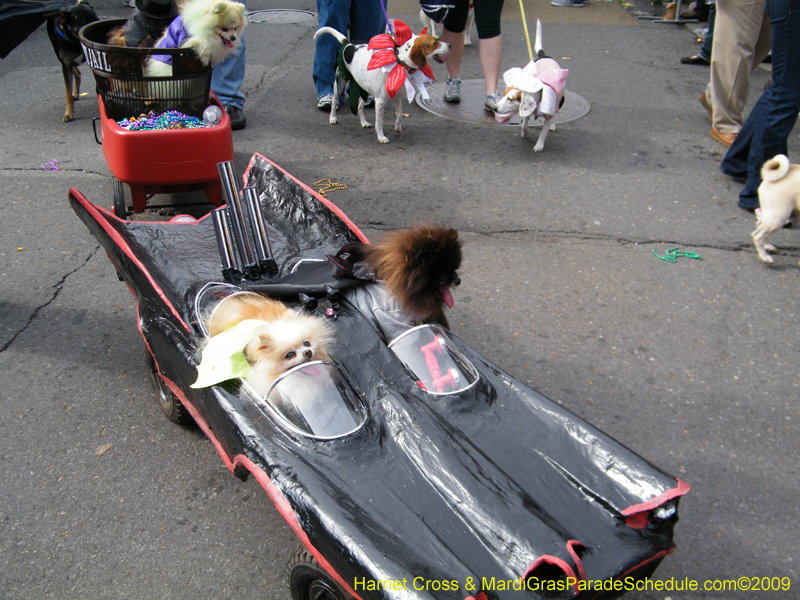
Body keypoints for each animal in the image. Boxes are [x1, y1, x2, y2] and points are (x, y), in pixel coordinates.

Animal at [314, 19, 450, 144]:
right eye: (435, 42)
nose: (450, 45)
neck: (400, 63)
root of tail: (348, 43)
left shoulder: (396, 97)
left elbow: (400, 113)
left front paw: (397, 127)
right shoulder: (379, 101)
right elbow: (379, 122)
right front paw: (381, 137)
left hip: (365, 88)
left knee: (359, 106)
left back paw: (364, 122)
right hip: (340, 82)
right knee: (334, 101)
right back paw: (332, 117)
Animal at [490, 20, 564, 154]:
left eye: (510, 99)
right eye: (503, 96)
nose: (494, 108)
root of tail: (544, 56)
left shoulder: (548, 115)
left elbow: (543, 132)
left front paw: (539, 144)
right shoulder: (526, 112)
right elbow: (524, 124)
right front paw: (525, 133)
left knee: (555, 114)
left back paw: (552, 124)